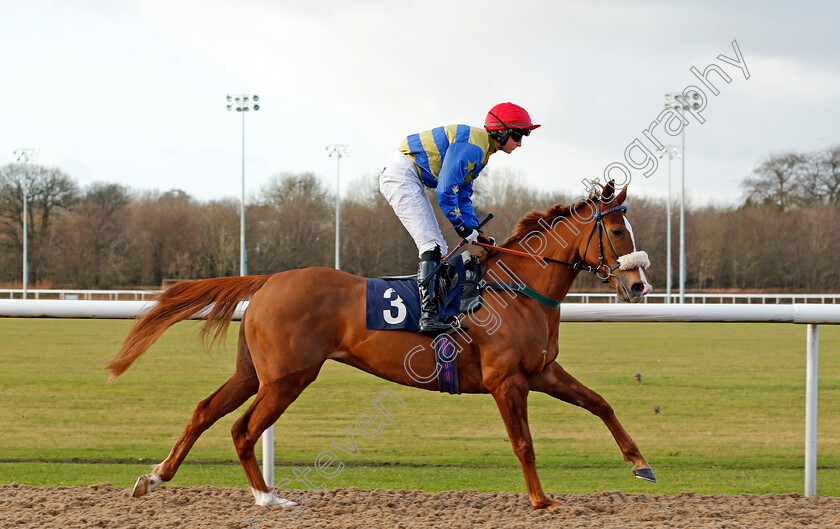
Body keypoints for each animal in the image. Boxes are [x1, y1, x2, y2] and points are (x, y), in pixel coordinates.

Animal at [106, 180, 656, 508]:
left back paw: (155, 477)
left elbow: (601, 404)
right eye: (615, 229)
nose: (638, 286)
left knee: (205, 410)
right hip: (288, 377)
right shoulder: (508, 382)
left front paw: (640, 464)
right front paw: (542, 501)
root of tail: (267, 280)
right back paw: (268, 499)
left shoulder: (542, 372)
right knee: (244, 428)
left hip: (252, 373)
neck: (515, 290)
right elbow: (524, 443)